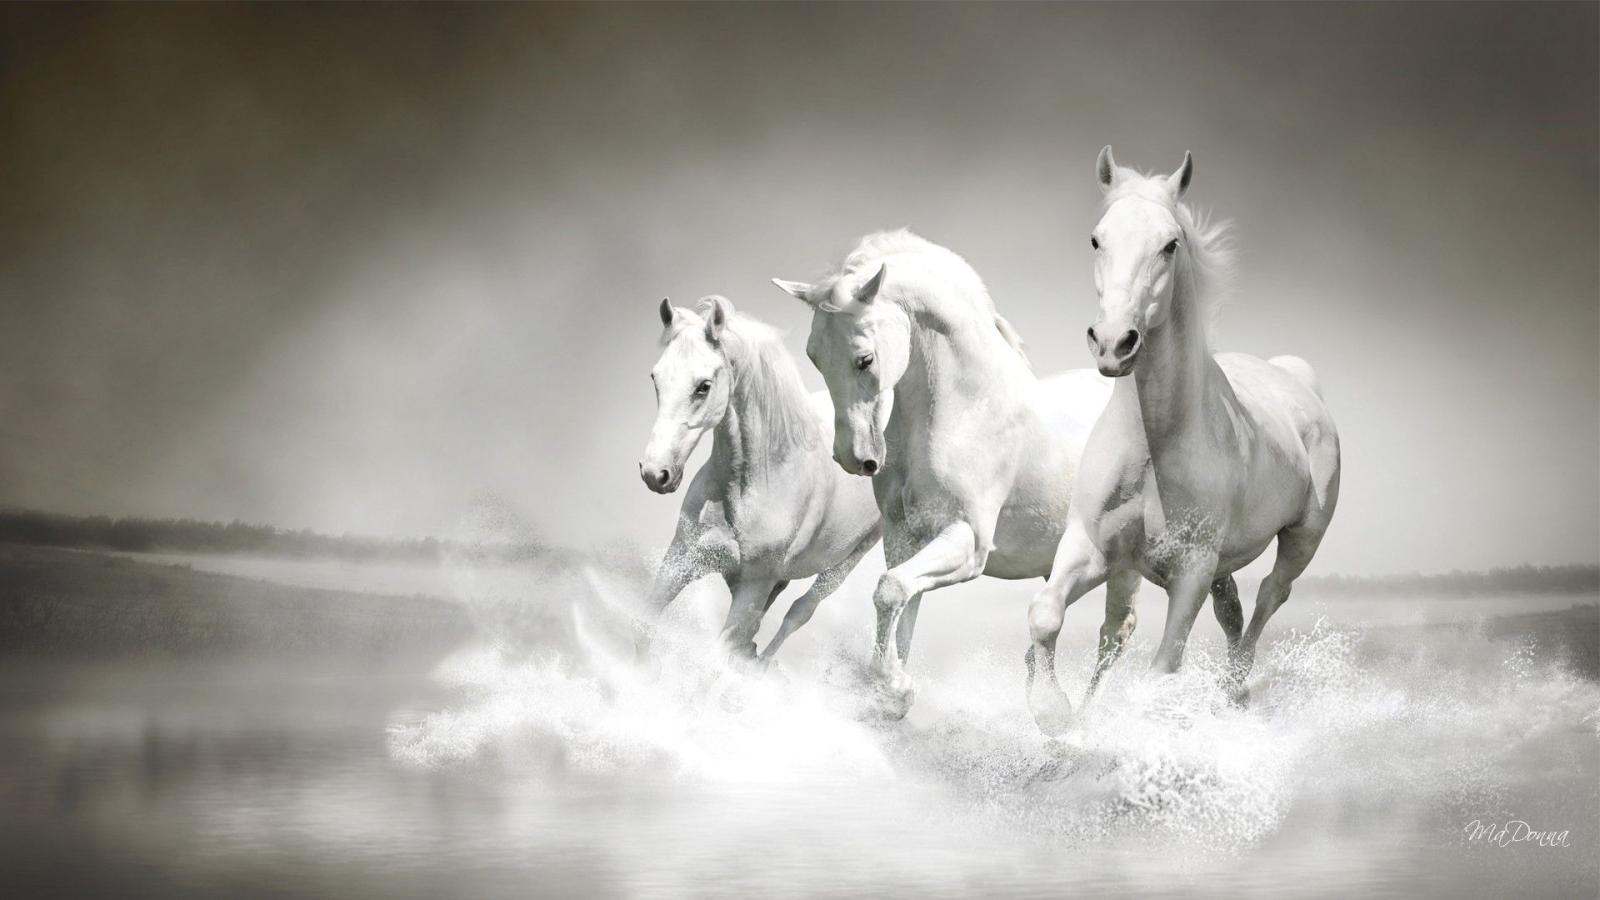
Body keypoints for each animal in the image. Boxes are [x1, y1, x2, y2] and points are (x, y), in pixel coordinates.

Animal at [639, 295, 882, 664]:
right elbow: (643, 628)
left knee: (799, 612)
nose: (655, 473)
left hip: (846, 561)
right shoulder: (681, 559)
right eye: (656, 377)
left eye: (703, 386)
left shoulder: (753, 587)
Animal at [773, 231, 1235, 718]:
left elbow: (891, 591)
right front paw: (892, 692)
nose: (853, 457)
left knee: (1116, 633)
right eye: (814, 357)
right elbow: (903, 603)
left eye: (864, 359)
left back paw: (1078, 720)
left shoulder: (969, 542)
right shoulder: (904, 538)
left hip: (1124, 562)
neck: (965, 410)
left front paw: (893, 686)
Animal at [1024, 148, 1341, 734]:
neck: (1154, 445)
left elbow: (1163, 667)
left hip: (1302, 538)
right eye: (1097, 239)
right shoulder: (1091, 547)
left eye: (1170, 244)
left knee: (1271, 595)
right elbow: (1046, 614)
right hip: (1222, 565)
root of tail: (1298, 380)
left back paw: (1233, 689)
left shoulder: (1190, 570)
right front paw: (1055, 714)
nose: (1113, 343)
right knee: (1232, 609)